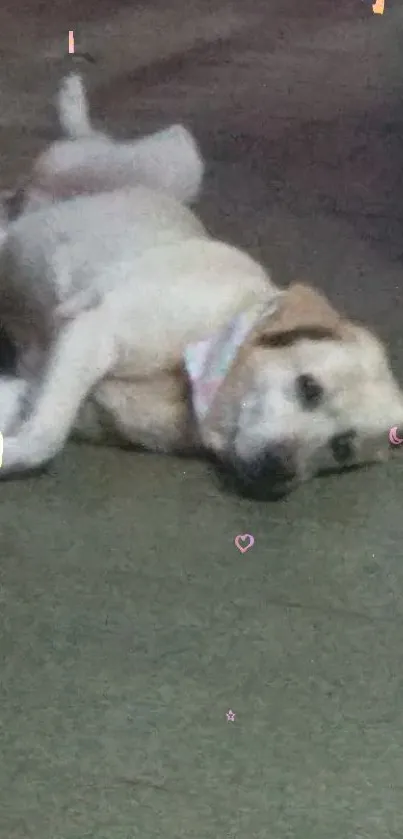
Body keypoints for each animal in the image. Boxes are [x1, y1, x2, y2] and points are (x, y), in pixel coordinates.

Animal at [0, 77, 403, 498]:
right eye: (309, 388)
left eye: (342, 447)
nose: (281, 472)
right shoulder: (95, 330)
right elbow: (44, 440)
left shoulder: (37, 386)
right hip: (169, 159)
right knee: (79, 141)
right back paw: (71, 100)